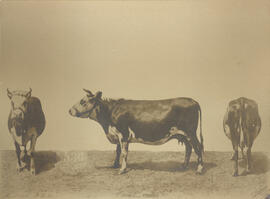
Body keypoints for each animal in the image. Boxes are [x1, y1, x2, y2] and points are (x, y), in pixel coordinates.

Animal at [68, 88, 204, 174]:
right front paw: (115, 165)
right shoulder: (118, 134)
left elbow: (124, 153)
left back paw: (199, 170)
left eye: (83, 101)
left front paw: (122, 170)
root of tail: (193, 101)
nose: (69, 110)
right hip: (183, 135)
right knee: (189, 148)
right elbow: (117, 151)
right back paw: (183, 166)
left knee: (198, 147)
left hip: (190, 132)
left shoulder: (123, 133)